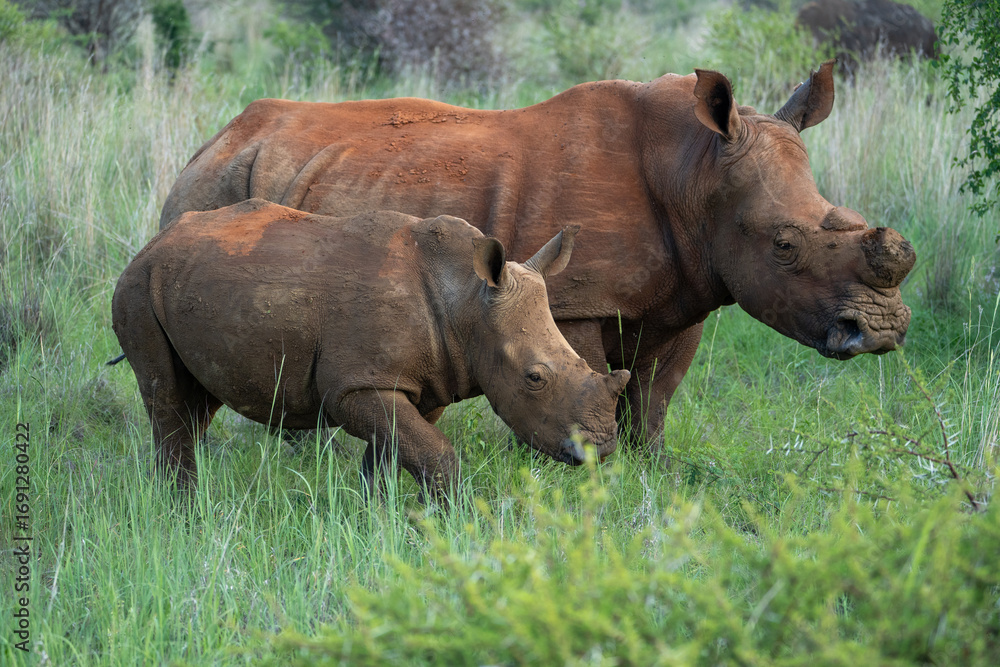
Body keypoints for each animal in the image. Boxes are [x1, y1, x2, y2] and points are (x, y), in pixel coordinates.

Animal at [111, 200, 630, 498]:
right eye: (534, 378)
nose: (601, 448)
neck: (466, 300)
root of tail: (153, 242)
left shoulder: (423, 382)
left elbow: (391, 456)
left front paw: (374, 522)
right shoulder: (357, 386)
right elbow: (434, 455)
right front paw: (452, 521)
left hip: (184, 280)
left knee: (195, 405)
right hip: (137, 287)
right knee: (167, 400)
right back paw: (181, 513)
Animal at [159, 61, 915, 444]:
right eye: (785, 245)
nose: (880, 331)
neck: (696, 171)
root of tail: (217, 137)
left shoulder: (687, 295)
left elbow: (654, 401)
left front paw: (649, 477)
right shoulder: (577, 299)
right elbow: (587, 379)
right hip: (211, 187)